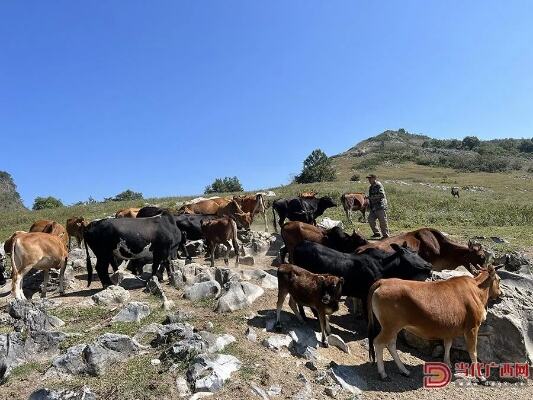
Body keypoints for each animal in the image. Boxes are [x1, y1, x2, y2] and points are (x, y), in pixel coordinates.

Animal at [368, 264, 500, 380]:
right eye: (499, 279)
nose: (501, 293)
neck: (477, 290)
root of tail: (383, 281)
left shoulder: (450, 327)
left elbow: (448, 345)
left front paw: (448, 363)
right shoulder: (472, 327)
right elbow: (473, 352)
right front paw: (480, 376)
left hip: (393, 327)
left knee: (390, 344)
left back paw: (404, 370)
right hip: (390, 326)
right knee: (379, 342)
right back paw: (383, 374)